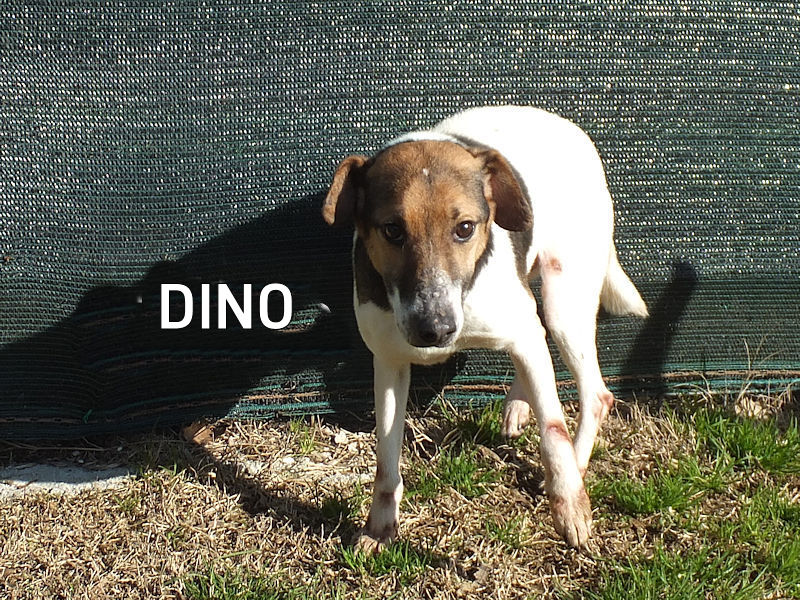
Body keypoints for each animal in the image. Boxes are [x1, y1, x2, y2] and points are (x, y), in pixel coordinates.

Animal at [322, 106, 648, 551]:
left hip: (565, 303)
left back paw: (577, 464)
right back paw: (519, 403)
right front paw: (380, 528)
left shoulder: (523, 331)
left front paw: (568, 504)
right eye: (392, 230)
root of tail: (572, 129)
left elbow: (553, 428)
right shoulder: (389, 362)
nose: (435, 330)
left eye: (464, 228)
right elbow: (386, 458)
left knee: (595, 394)